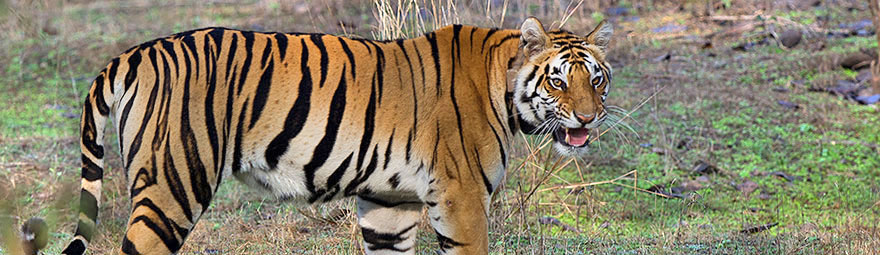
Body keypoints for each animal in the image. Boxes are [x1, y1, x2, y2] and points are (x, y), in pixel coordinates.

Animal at [20, 16, 612, 254]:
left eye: (596, 79)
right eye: (559, 80)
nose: (588, 118)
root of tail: (134, 51)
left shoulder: (389, 205)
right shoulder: (461, 201)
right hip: (173, 186)